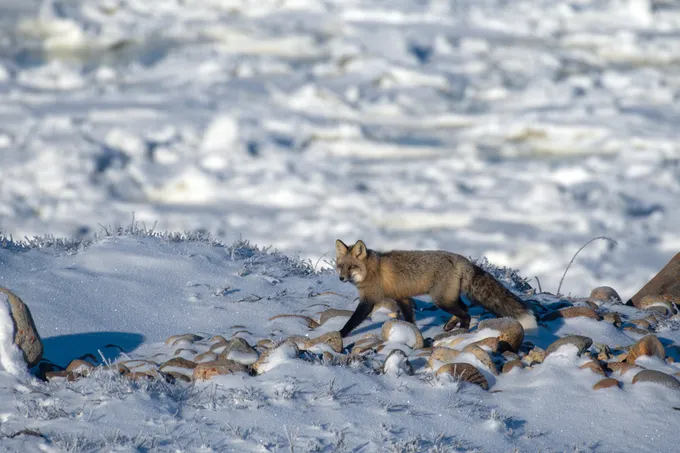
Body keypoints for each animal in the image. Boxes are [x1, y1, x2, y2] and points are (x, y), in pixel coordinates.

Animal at [334, 239, 537, 338]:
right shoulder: (402, 297)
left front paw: (341, 334)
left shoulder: (369, 300)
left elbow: (352, 321)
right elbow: (410, 319)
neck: (371, 270)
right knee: (465, 308)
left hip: (440, 300)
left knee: (466, 314)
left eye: (352, 267)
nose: (341, 278)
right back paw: (450, 325)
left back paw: (461, 331)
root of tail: (462, 260)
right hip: (448, 297)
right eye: (341, 266)